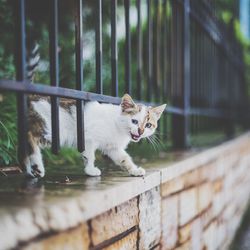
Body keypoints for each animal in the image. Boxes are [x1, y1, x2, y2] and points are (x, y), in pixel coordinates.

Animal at [24, 94, 166, 178]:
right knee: (29, 136)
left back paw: (30, 170)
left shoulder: (113, 147)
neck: (117, 125)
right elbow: (89, 155)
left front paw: (134, 170)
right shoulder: (88, 138)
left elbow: (124, 158)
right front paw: (91, 170)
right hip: (51, 129)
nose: (140, 131)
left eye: (148, 125)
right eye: (134, 121)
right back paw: (37, 167)